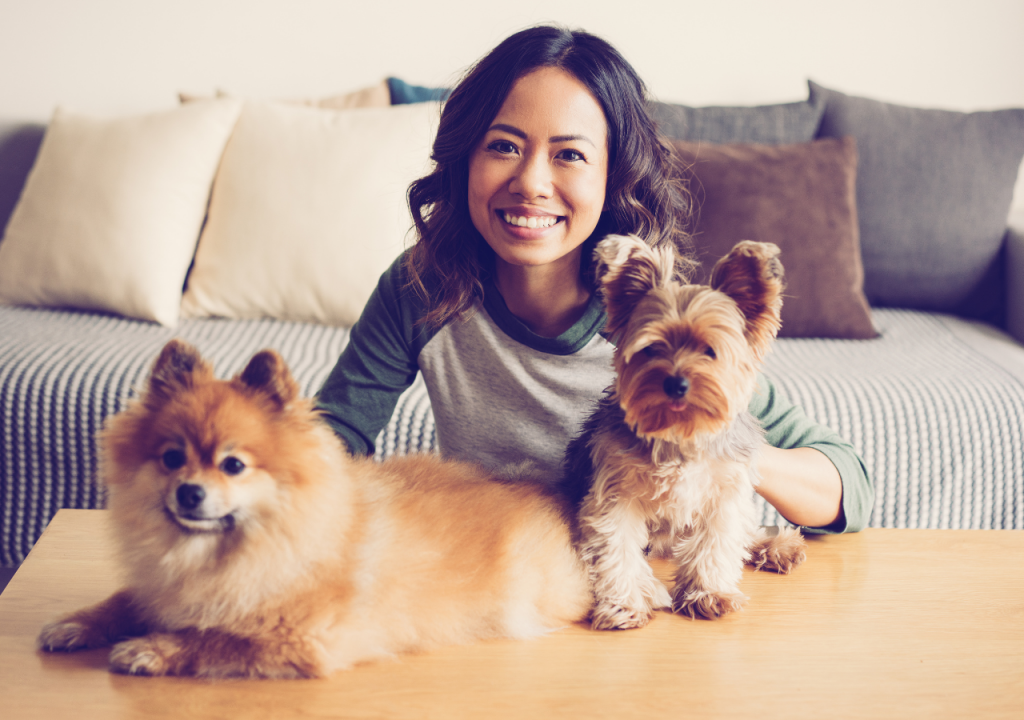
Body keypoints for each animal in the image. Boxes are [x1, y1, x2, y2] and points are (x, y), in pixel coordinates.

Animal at [37, 340, 593, 680]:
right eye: (172, 458)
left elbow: (213, 638)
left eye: (233, 465)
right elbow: (126, 600)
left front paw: (150, 648)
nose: (189, 492)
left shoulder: (301, 640)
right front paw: (77, 624)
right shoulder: (165, 586)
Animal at [565, 236, 802, 630]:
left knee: (743, 534)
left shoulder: (725, 492)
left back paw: (777, 547)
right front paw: (624, 603)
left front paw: (707, 593)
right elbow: (616, 547)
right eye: (650, 349)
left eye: (710, 351)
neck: (679, 434)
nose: (676, 383)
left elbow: (717, 543)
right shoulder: (615, 494)